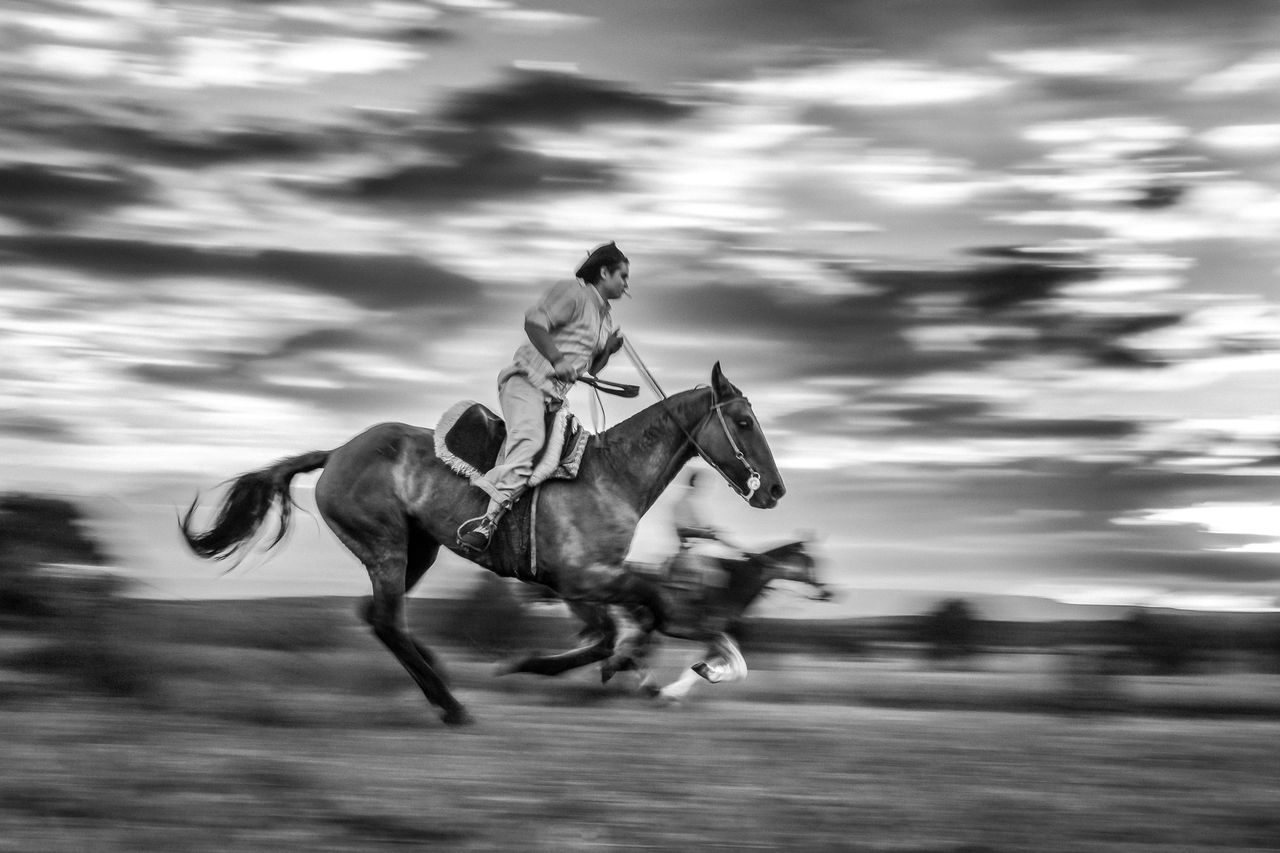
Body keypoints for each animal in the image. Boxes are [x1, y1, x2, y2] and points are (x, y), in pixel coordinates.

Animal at [179, 361, 778, 722]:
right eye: (744, 421)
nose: (775, 489)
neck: (611, 475)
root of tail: (336, 453)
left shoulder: (584, 586)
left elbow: (630, 627)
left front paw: (656, 671)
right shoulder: (583, 579)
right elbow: (648, 614)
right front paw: (699, 667)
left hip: (417, 550)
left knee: (376, 617)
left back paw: (439, 680)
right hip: (387, 546)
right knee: (387, 621)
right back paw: (450, 704)